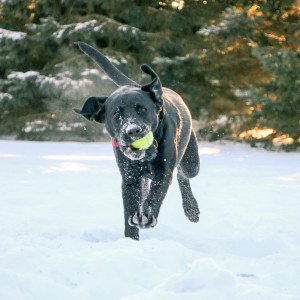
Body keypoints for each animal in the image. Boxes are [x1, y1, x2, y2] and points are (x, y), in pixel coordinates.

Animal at [74, 42, 200, 240]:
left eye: (142, 109)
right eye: (116, 114)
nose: (132, 131)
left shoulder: (163, 172)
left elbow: (155, 195)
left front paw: (146, 217)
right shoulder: (130, 178)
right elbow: (130, 209)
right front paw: (130, 240)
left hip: (191, 163)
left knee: (183, 174)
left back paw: (191, 209)